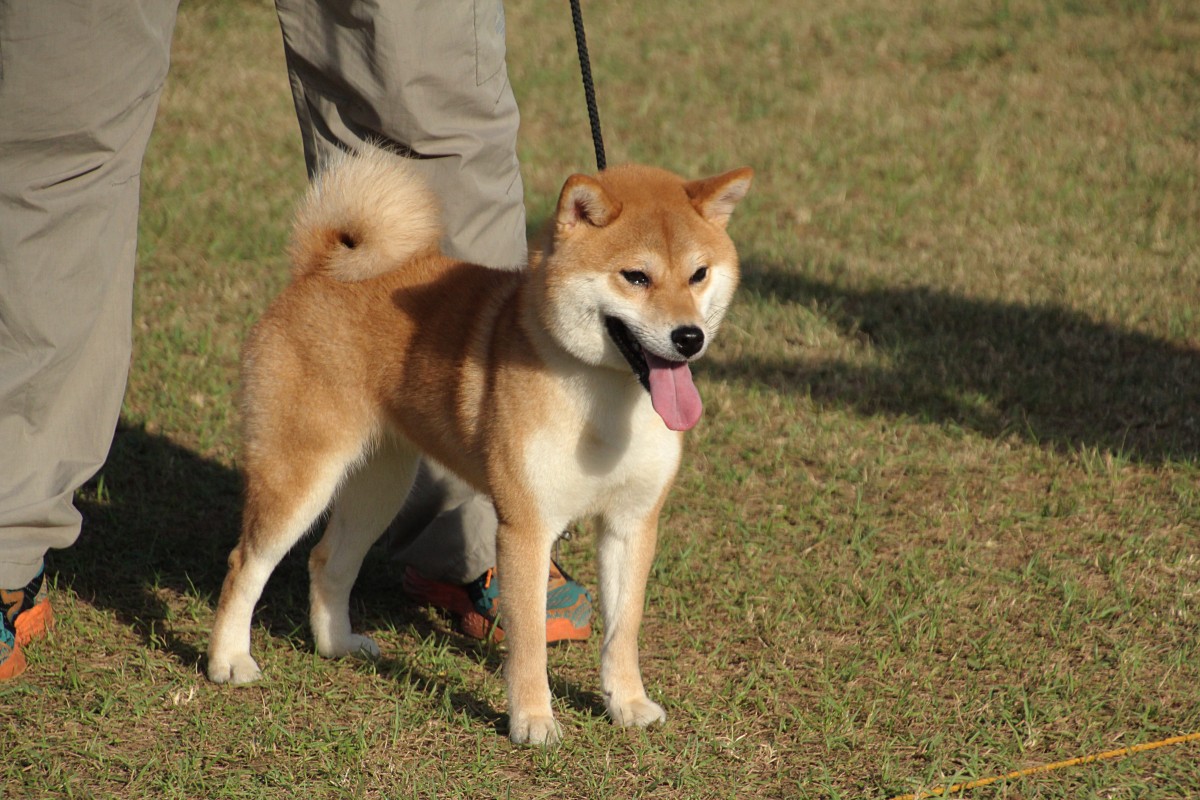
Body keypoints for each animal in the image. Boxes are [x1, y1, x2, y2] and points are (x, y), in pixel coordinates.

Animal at [206, 148, 748, 743]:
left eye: (698, 274)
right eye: (636, 276)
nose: (689, 337)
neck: (606, 397)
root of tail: (317, 269)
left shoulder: (632, 521)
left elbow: (622, 631)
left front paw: (626, 704)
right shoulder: (526, 527)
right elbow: (529, 641)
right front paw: (533, 720)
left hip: (379, 485)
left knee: (328, 558)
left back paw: (338, 645)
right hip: (302, 474)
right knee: (245, 562)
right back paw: (228, 661)